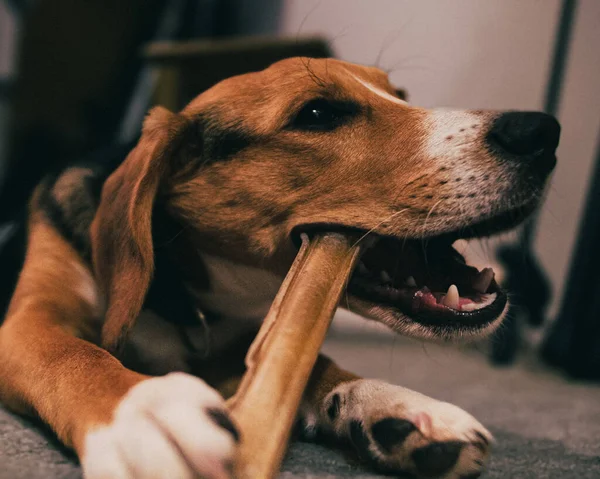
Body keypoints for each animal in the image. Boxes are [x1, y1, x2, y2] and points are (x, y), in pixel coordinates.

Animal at [0, 57, 560, 479]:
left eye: (400, 94)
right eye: (317, 113)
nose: (542, 131)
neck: (186, 294)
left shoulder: (243, 350)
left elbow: (314, 363)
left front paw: (395, 406)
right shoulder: (27, 325)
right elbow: (73, 354)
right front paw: (141, 409)